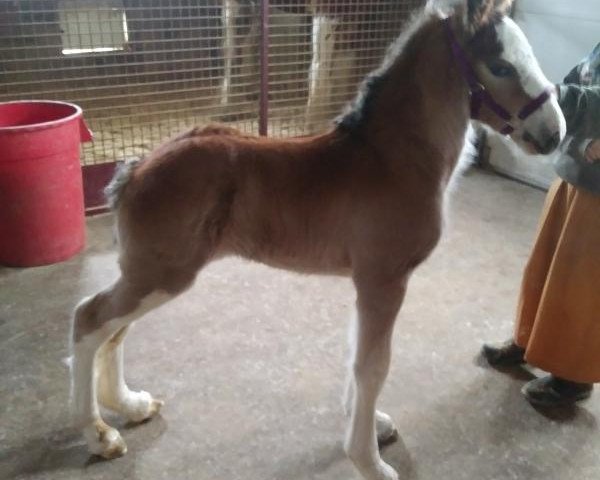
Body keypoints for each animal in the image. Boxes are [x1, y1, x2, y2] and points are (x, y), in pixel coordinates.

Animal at [70, 1, 564, 478]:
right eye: (500, 65)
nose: (554, 133)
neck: (393, 159)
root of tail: (135, 168)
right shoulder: (384, 280)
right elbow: (373, 366)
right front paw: (369, 461)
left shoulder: (367, 282)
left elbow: (356, 354)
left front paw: (372, 426)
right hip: (162, 274)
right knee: (90, 318)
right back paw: (100, 436)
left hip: (149, 273)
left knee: (113, 330)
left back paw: (131, 406)